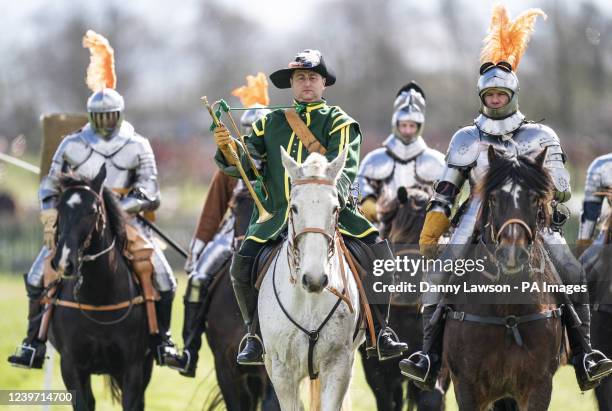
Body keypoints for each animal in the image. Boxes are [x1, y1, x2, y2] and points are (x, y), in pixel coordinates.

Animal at [442, 149, 560, 411]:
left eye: (534, 199)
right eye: (494, 198)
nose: (512, 253)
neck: (507, 313)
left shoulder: (539, 387)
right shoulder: (467, 387)